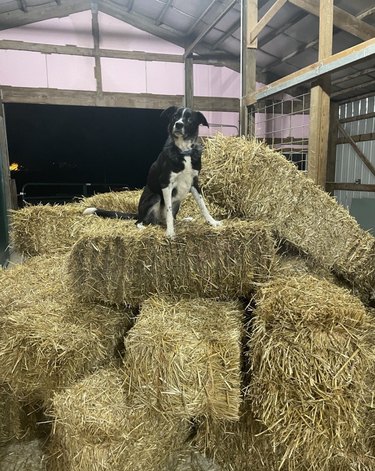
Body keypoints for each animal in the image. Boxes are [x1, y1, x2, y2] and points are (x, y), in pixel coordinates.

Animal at [83, 108, 222, 240]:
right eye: (175, 116)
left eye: (189, 119)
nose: (178, 124)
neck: (183, 151)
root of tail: (138, 213)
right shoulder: (166, 183)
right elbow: (168, 210)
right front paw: (170, 232)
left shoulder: (194, 182)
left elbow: (202, 205)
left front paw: (213, 222)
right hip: (155, 197)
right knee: (140, 221)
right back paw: (144, 227)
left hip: (177, 202)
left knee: (170, 217)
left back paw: (183, 220)